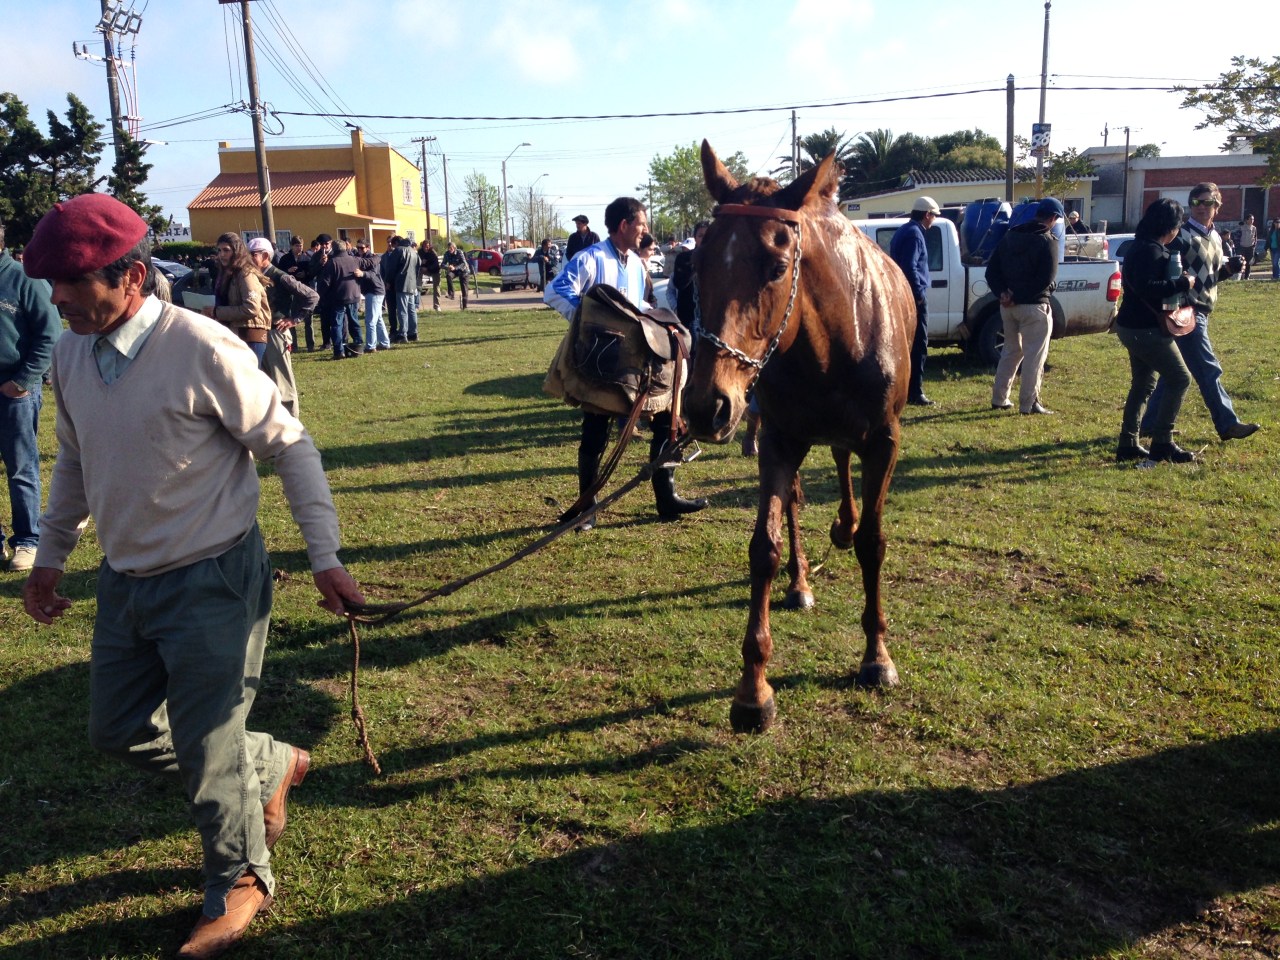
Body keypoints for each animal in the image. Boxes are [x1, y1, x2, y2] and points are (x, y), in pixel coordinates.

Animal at [686, 138, 916, 732]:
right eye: (695, 262)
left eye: (776, 266)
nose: (705, 405)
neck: (834, 339)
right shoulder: (778, 441)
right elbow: (764, 547)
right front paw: (753, 689)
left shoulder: (884, 442)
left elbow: (873, 543)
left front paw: (877, 655)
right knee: (794, 500)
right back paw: (800, 582)